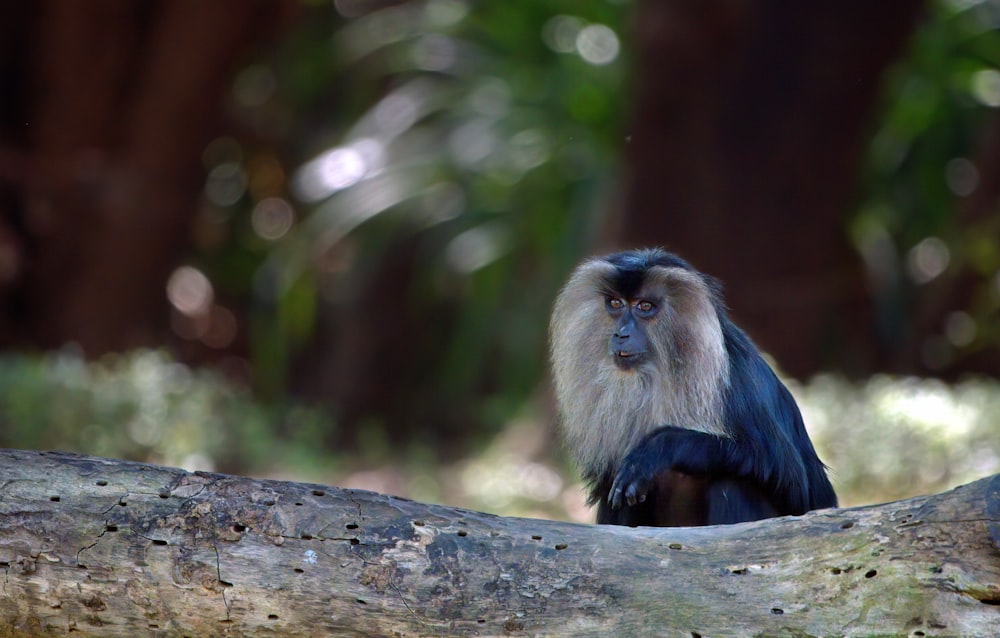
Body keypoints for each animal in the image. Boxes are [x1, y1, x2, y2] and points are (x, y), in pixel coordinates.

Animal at [548, 248, 836, 528]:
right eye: (616, 304)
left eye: (645, 306)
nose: (621, 334)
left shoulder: (740, 384)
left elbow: (796, 481)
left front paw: (658, 449)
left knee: (733, 481)